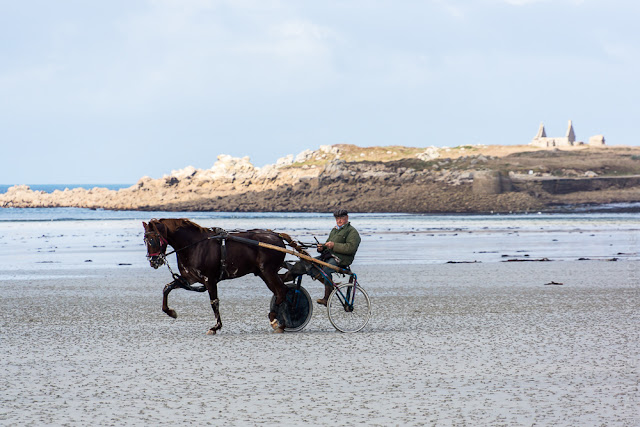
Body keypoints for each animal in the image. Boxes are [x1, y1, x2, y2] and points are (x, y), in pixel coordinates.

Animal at [142, 218, 290, 334]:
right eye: (145, 240)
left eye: (154, 239)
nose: (153, 261)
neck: (195, 245)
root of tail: (277, 236)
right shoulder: (188, 278)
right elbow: (166, 288)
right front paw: (170, 312)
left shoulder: (210, 280)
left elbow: (214, 302)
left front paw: (215, 327)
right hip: (263, 273)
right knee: (279, 292)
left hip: (268, 272)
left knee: (282, 291)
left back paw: (278, 321)